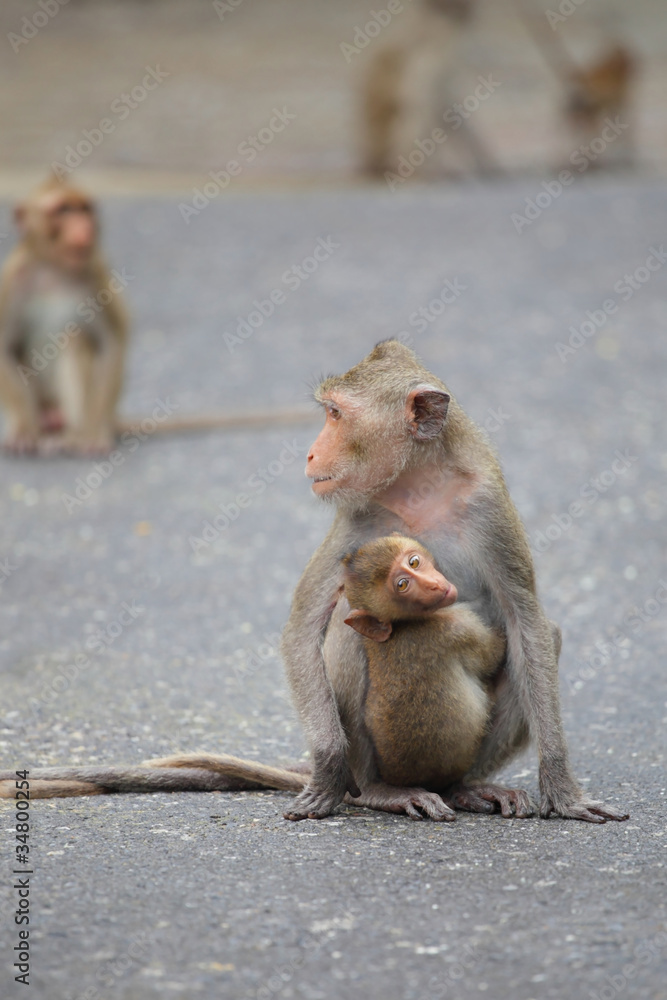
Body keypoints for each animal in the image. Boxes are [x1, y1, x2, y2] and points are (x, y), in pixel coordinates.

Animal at [341, 535, 513, 816]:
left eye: (414, 562)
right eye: (402, 585)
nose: (432, 584)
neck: (403, 623)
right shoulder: (458, 625)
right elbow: (496, 654)